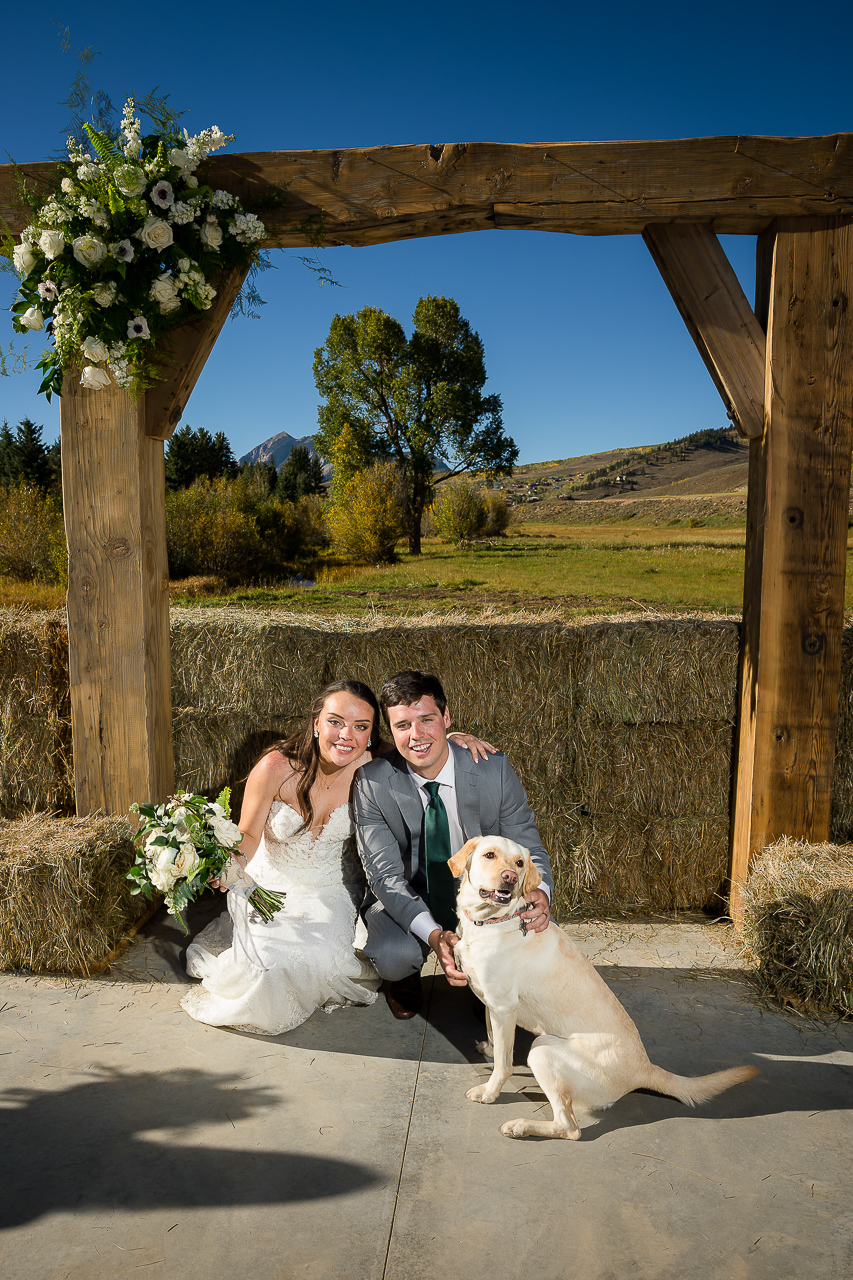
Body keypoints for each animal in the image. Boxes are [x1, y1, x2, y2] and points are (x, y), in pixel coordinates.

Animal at [448, 834, 753, 1146]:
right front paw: (488, 1049)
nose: (509, 877)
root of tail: (644, 1068)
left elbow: (504, 1063)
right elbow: (495, 1041)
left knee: (570, 1127)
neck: (490, 923)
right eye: (489, 855)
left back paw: (521, 1126)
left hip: (542, 1050)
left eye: (519, 863)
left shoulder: (503, 1006)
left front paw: (489, 1091)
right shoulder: (492, 1004)